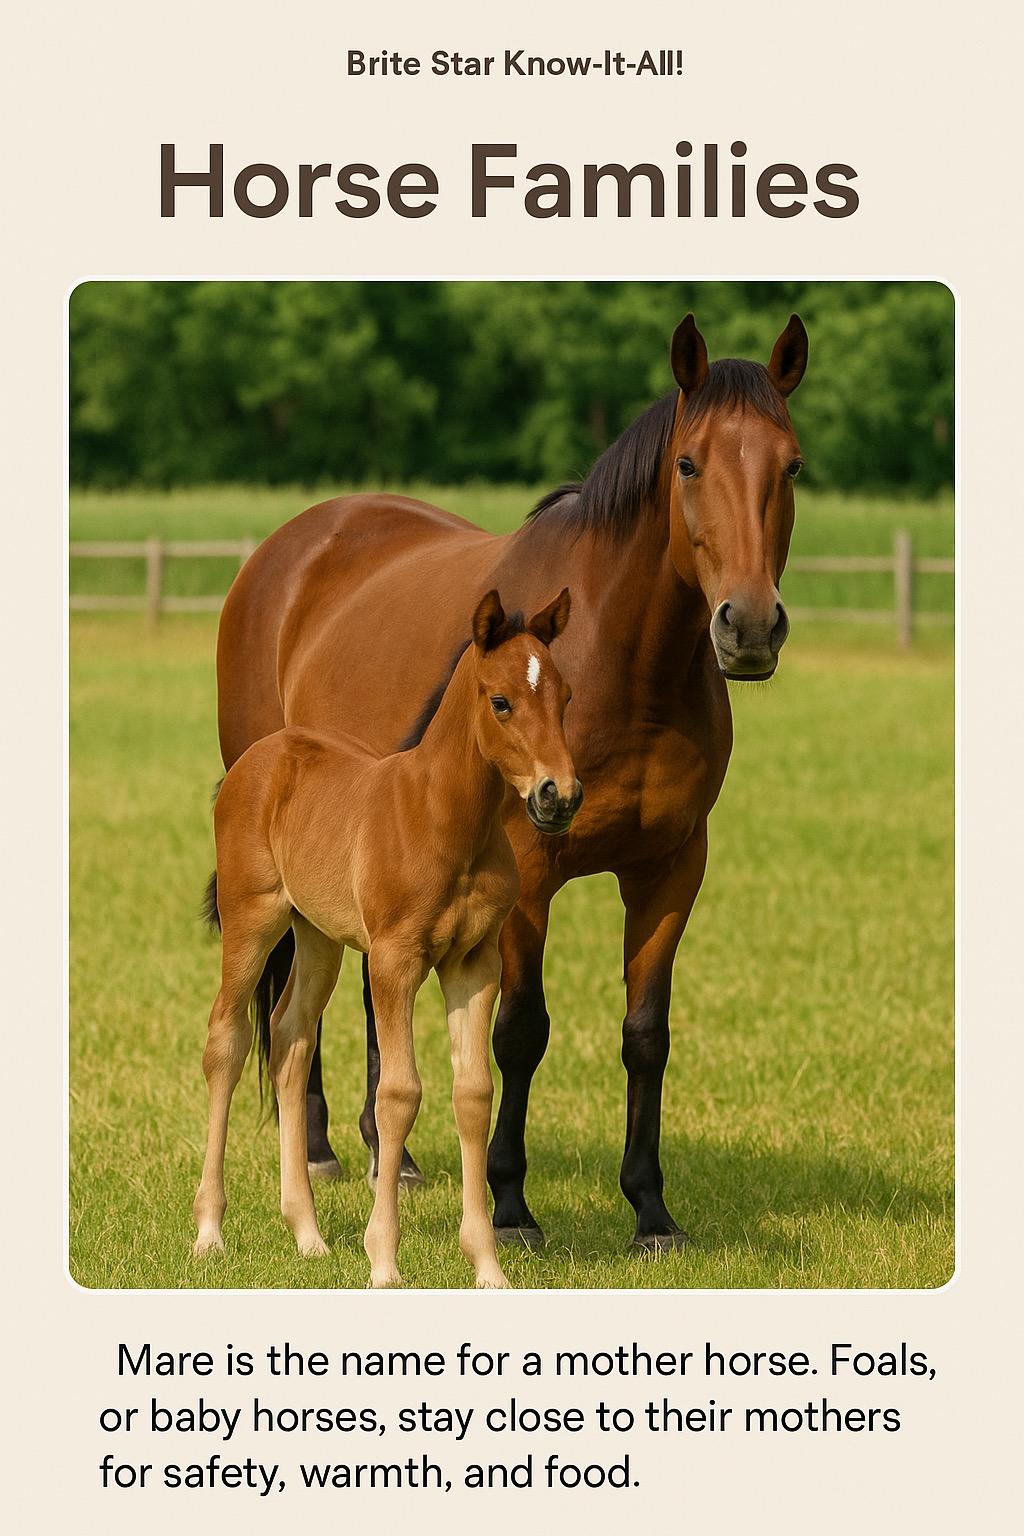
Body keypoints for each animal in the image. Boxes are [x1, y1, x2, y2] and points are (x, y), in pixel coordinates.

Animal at [195, 588, 579, 1286]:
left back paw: (309, 1234)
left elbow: (473, 1093)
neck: (445, 819)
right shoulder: (394, 962)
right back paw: (209, 1230)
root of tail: (259, 757)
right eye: (501, 701)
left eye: (565, 697)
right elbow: (399, 1093)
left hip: (318, 936)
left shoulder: (475, 965)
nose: (559, 796)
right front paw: (383, 1260)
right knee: (227, 1041)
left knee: (290, 1038)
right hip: (251, 920)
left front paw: (487, 1263)